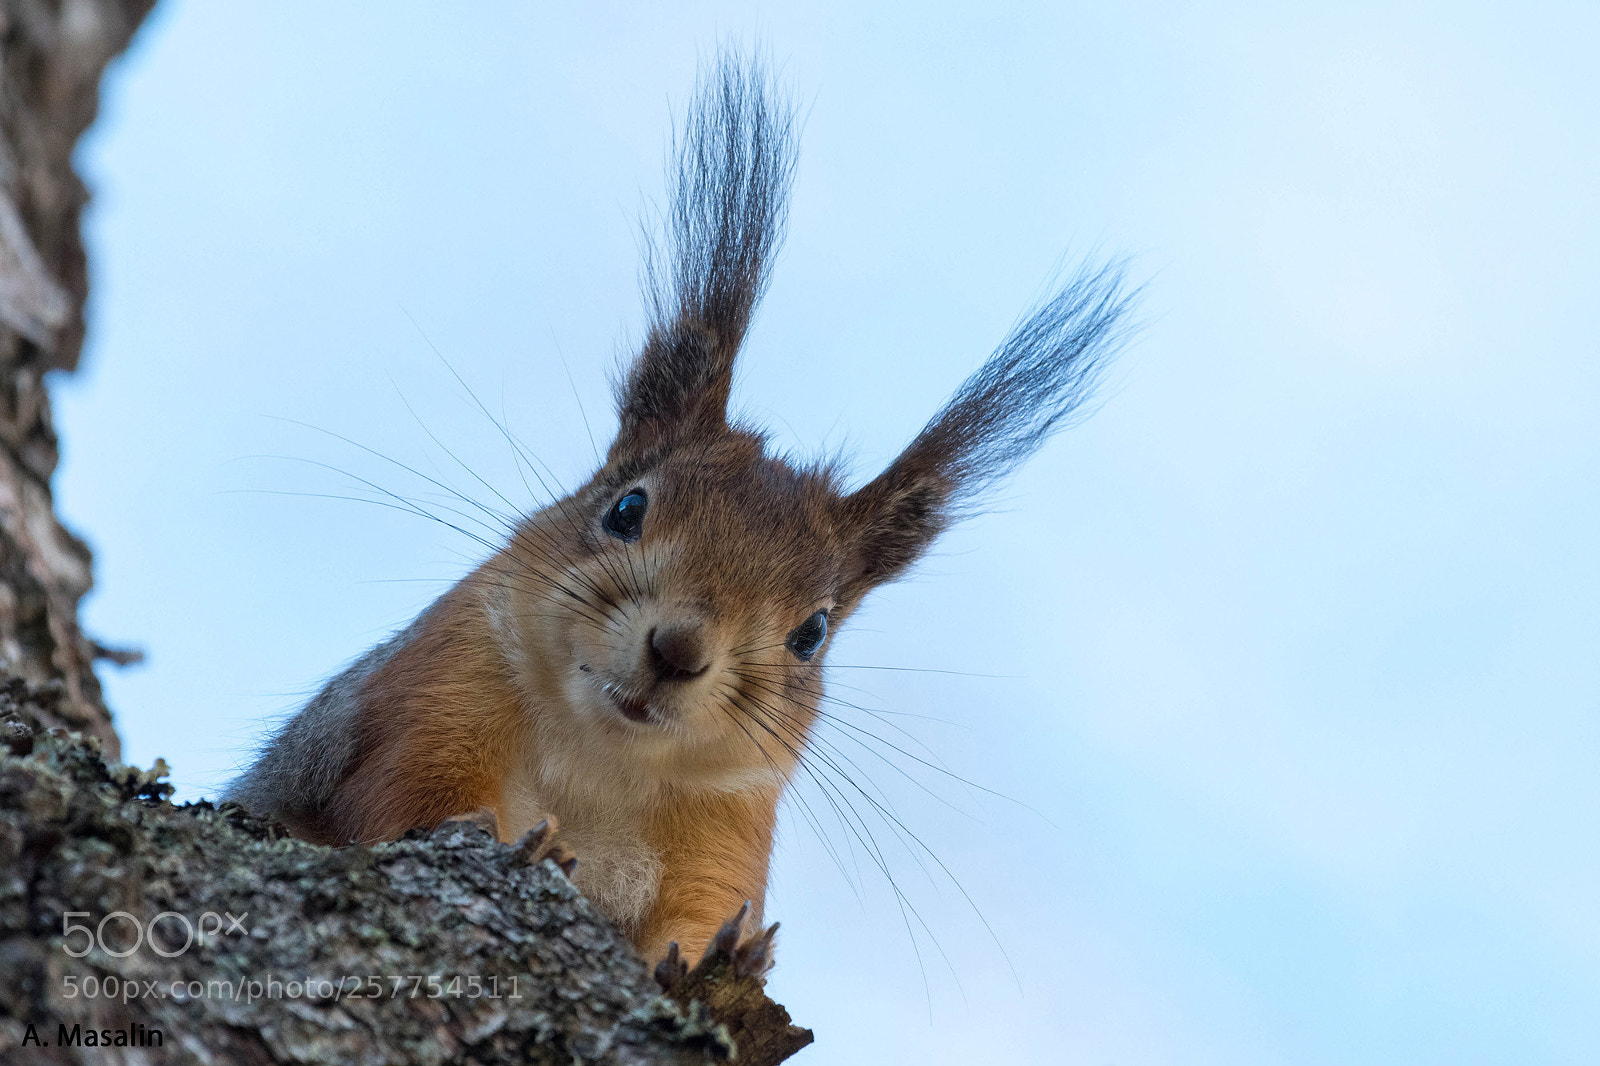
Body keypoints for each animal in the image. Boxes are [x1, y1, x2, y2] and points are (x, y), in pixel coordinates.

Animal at [228, 51, 1136, 985]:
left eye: (812, 632)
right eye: (627, 508)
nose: (678, 651)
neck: (603, 764)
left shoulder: (726, 839)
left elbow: (696, 925)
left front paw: (718, 973)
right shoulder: (426, 697)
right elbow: (402, 801)